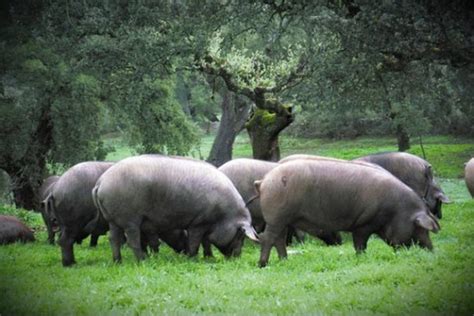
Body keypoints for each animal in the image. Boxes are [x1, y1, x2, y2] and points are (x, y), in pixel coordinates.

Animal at [93, 154, 260, 262]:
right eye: (241, 235)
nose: (237, 258)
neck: (225, 214)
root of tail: (100, 182)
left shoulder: (206, 224)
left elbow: (206, 241)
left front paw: (209, 257)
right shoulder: (198, 222)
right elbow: (196, 241)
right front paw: (192, 258)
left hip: (112, 219)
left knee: (113, 238)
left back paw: (118, 261)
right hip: (129, 219)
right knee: (132, 240)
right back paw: (142, 261)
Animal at [256, 160, 440, 266]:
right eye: (419, 226)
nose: (432, 250)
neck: (394, 210)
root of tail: (264, 180)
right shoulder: (363, 224)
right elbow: (360, 244)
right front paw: (361, 259)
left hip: (282, 219)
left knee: (279, 239)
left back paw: (284, 260)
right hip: (276, 216)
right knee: (268, 238)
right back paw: (263, 264)